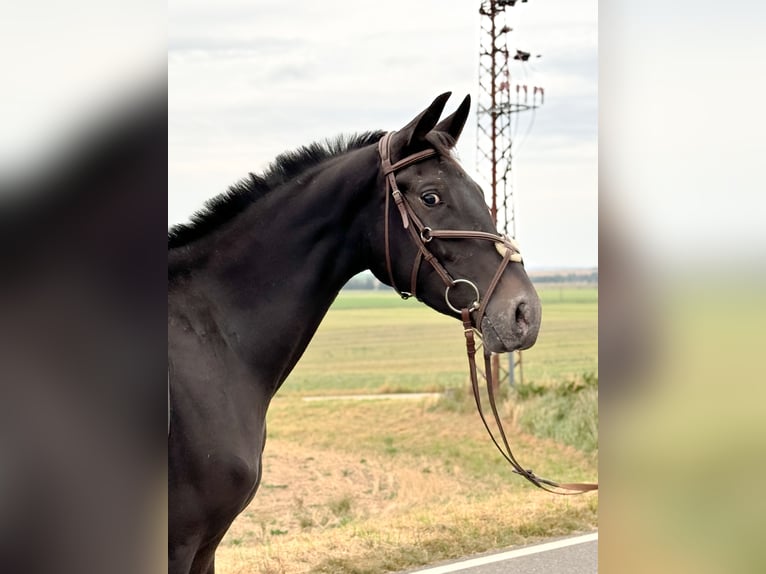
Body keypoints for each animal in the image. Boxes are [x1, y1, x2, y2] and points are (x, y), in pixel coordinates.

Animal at [168, 92, 544, 572]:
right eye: (431, 196)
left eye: (481, 192)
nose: (524, 312)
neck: (208, 334)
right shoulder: (181, 541)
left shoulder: (206, 546)